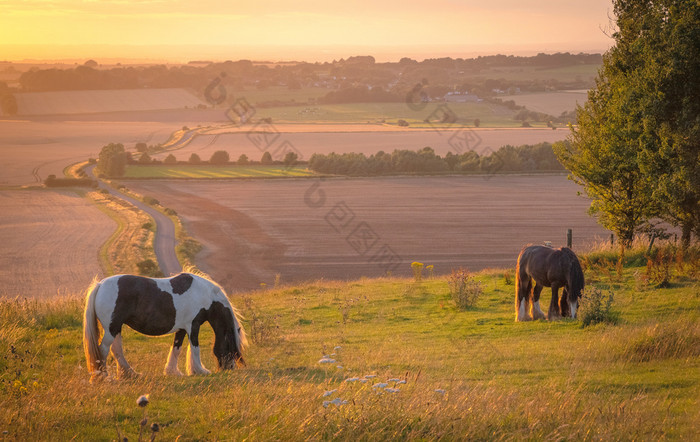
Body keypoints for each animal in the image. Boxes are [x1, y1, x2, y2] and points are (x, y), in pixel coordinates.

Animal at [83, 270, 247, 380]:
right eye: (230, 346)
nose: (229, 368)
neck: (204, 295)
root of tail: (100, 285)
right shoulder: (193, 326)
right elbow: (195, 349)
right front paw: (200, 370)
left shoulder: (182, 329)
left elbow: (176, 348)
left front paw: (173, 371)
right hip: (111, 328)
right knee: (103, 349)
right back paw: (104, 376)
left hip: (116, 328)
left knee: (117, 350)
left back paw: (130, 373)